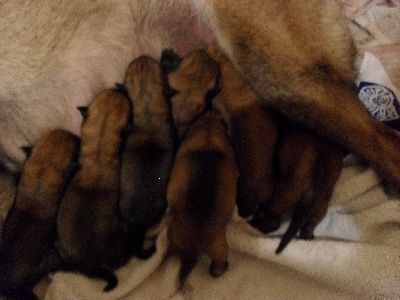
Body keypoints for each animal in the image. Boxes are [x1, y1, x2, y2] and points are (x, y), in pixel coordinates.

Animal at [250, 118, 344, 254]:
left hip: (284, 195)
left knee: (272, 218)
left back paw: (255, 223)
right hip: (321, 205)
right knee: (312, 222)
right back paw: (307, 235)